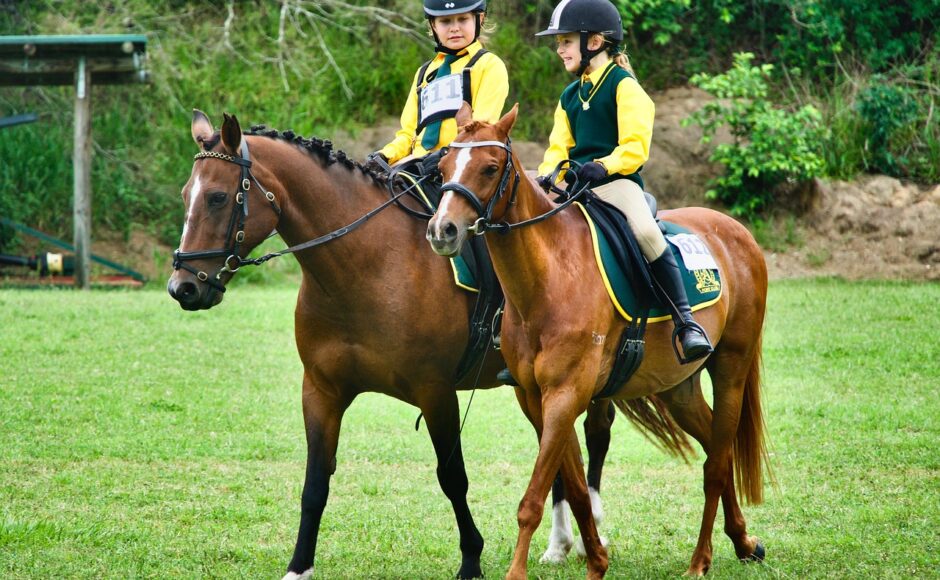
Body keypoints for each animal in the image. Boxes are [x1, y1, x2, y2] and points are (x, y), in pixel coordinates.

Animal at [166, 110, 618, 577]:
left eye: (218, 197)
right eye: (186, 195)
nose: (182, 287)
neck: (367, 264)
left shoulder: (435, 392)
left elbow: (453, 477)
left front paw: (471, 559)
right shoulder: (321, 391)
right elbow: (315, 483)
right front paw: (299, 565)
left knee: (594, 433)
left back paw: (590, 532)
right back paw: (559, 543)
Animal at [426, 104, 771, 578]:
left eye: (490, 167)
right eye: (442, 169)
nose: (442, 230)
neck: (546, 280)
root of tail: (738, 232)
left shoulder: (566, 393)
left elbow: (534, 499)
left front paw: (522, 570)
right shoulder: (536, 398)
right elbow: (572, 487)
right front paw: (595, 560)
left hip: (731, 368)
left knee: (718, 465)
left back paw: (701, 560)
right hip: (678, 387)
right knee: (714, 447)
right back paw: (742, 540)